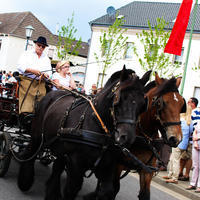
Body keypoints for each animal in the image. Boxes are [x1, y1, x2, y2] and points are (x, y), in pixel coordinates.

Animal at [17, 67, 152, 200]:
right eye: (118, 99)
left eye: (142, 104)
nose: (126, 137)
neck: (96, 124)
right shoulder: (76, 163)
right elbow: (72, 190)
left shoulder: (108, 166)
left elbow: (107, 191)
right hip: (37, 136)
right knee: (31, 153)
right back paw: (25, 181)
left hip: (60, 146)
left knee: (57, 167)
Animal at [84, 72, 186, 200]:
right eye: (160, 103)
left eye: (181, 104)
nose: (176, 138)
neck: (143, 137)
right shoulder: (117, 164)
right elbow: (114, 188)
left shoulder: (147, 169)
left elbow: (145, 194)